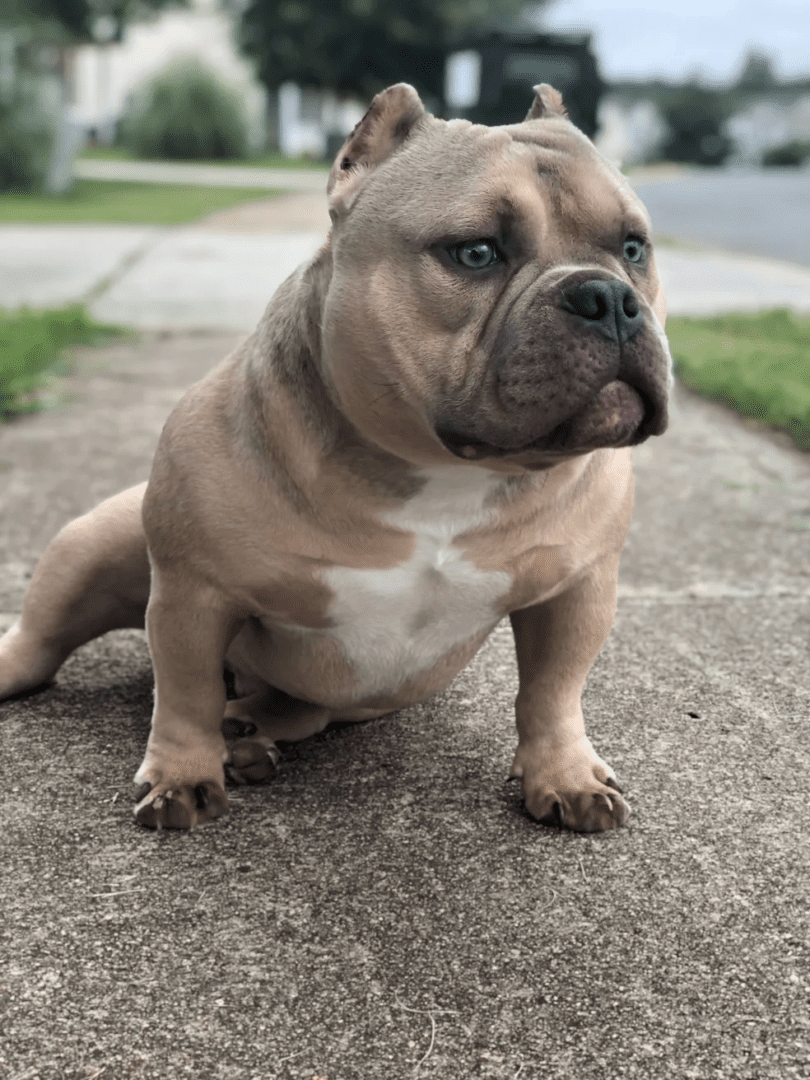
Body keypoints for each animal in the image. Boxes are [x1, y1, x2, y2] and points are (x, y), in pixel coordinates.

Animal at [0, 82, 673, 833]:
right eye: (475, 253)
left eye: (634, 247)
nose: (607, 298)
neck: (447, 475)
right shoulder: (191, 593)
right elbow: (184, 691)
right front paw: (181, 775)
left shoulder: (577, 588)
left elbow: (554, 691)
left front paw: (564, 774)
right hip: (92, 549)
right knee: (42, 643)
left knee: (293, 706)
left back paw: (248, 735)